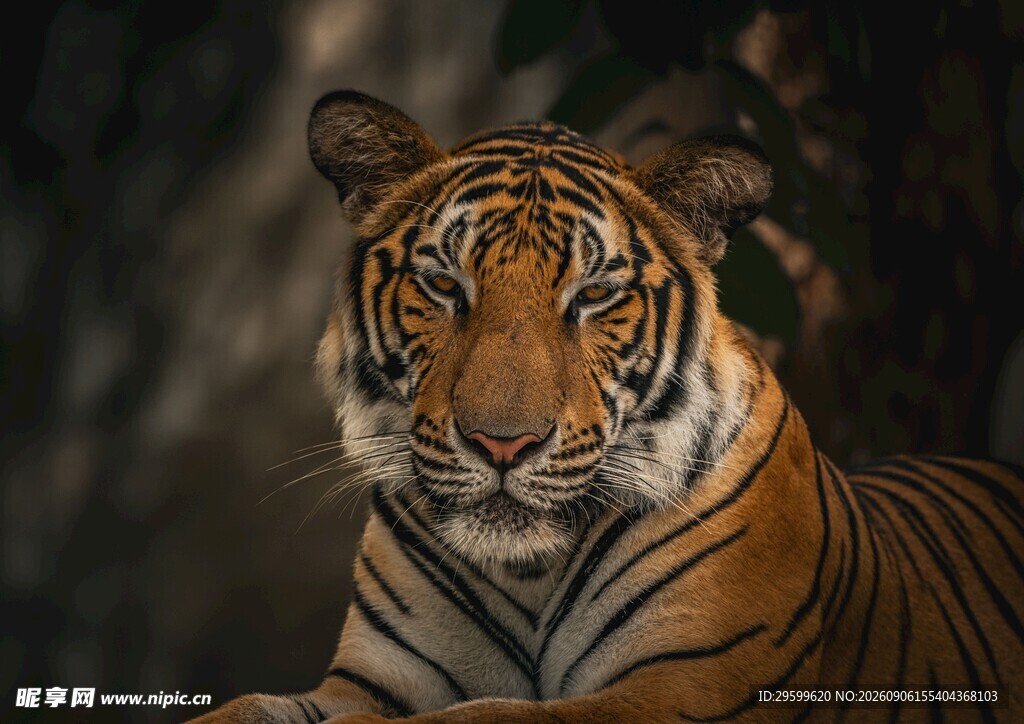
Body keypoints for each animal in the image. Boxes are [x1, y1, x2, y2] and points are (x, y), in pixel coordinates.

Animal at [194, 90, 1024, 723]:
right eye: (443, 285)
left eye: (593, 296)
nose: (503, 445)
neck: (529, 573)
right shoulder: (371, 683)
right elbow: (245, 708)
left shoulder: (685, 684)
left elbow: (489, 717)